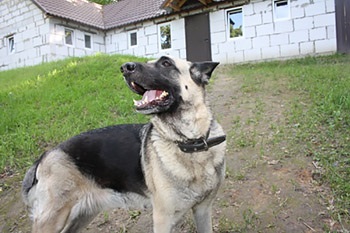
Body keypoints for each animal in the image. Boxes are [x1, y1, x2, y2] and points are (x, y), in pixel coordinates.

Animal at [21, 56, 227, 233]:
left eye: (166, 63)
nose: (125, 67)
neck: (190, 142)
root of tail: (45, 155)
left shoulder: (203, 210)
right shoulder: (163, 219)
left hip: (83, 214)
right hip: (53, 219)